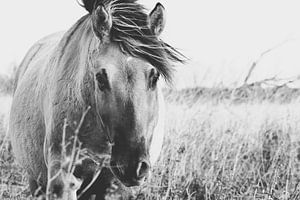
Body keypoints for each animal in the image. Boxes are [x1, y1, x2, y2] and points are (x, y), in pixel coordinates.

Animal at [8, 0, 184, 199]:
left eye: (155, 77)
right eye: (100, 78)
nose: (133, 167)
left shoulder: (114, 186)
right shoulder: (63, 180)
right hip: (35, 181)